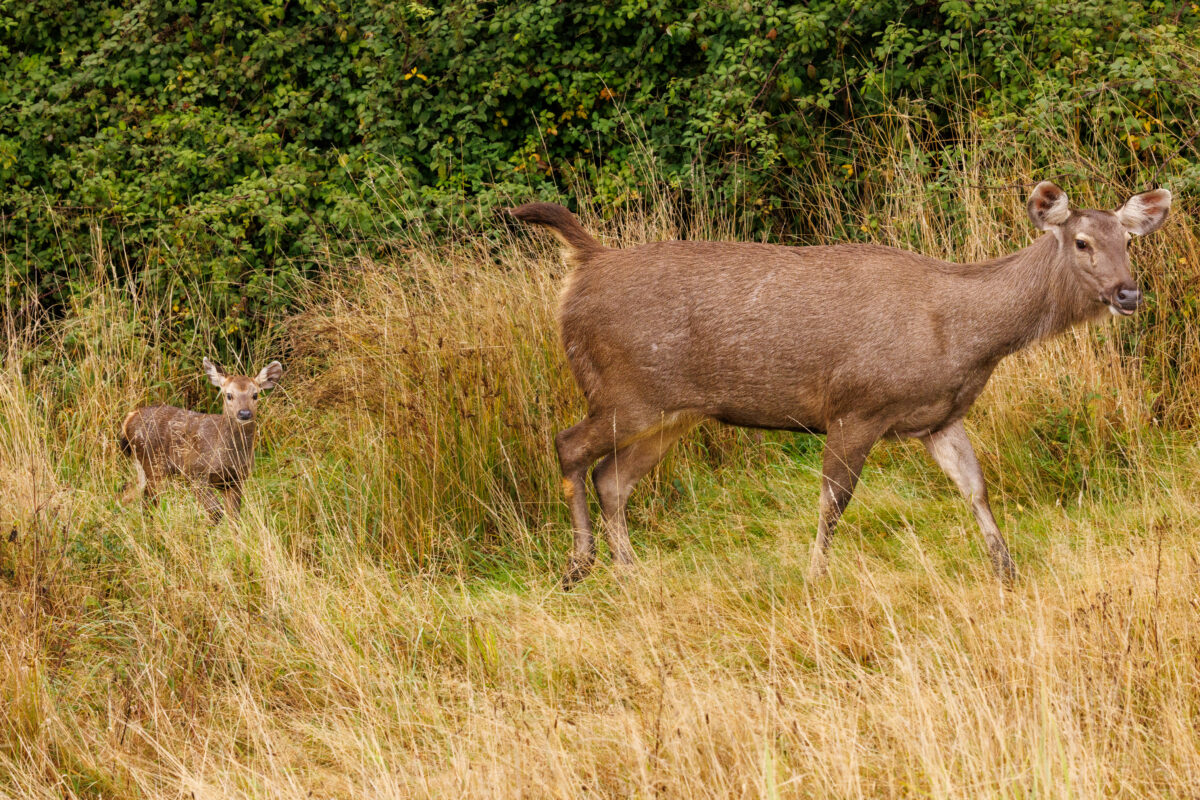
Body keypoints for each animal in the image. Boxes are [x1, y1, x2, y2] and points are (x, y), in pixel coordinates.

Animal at [119, 359, 283, 522]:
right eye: (229, 395)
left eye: (255, 395)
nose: (244, 413)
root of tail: (129, 418)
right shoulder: (195, 474)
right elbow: (216, 512)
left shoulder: (235, 480)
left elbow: (234, 516)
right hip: (154, 465)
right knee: (147, 503)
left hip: (143, 466)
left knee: (129, 492)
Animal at [508, 184, 1171, 592]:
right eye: (1082, 242)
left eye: (1128, 241)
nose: (1129, 293)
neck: (962, 335)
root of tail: (584, 266)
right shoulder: (858, 407)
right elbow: (833, 501)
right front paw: (813, 577)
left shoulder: (937, 417)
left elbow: (976, 488)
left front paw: (1005, 570)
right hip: (623, 391)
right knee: (569, 445)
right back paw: (579, 565)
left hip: (671, 412)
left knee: (612, 479)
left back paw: (630, 571)